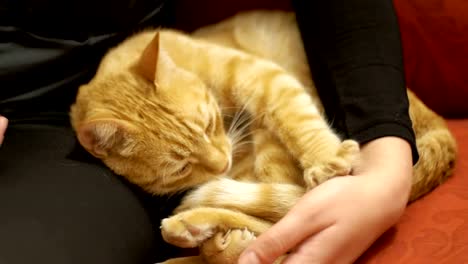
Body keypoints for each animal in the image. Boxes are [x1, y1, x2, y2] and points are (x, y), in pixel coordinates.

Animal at [69, 10, 458, 264]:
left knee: (290, 208)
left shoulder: (260, 75)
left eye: (208, 124)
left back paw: (200, 231)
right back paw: (199, 233)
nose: (221, 163)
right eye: (180, 168)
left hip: (271, 144)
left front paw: (325, 157)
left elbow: (294, 117)